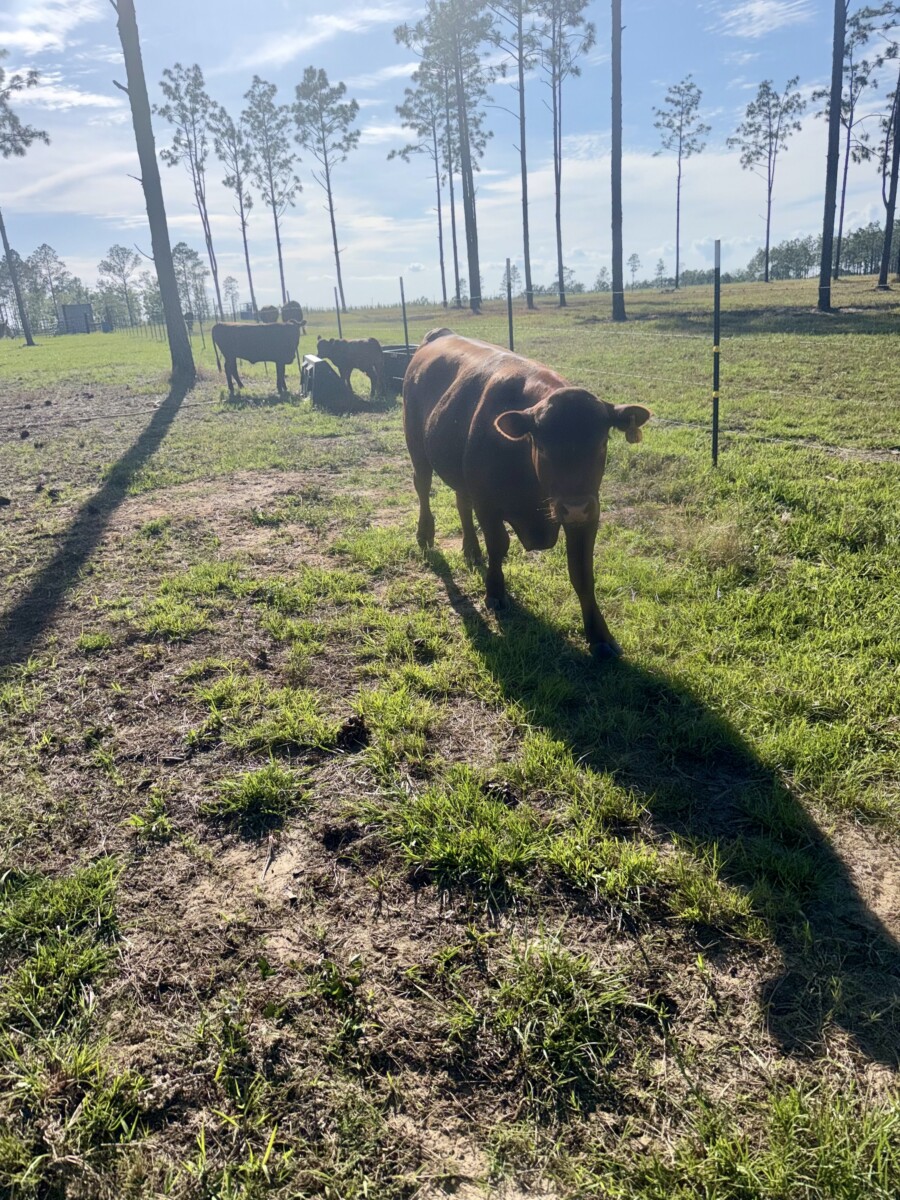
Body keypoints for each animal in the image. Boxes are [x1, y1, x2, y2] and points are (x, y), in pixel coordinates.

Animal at [402, 330, 651, 658]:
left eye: (601, 443)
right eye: (542, 447)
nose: (574, 507)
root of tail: (440, 335)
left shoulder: (589, 514)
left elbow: (582, 572)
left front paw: (600, 636)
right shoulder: (488, 504)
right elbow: (499, 545)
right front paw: (495, 592)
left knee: (461, 501)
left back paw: (471, 549)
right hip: (417, 448)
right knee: (422, 487)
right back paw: (426, 534)